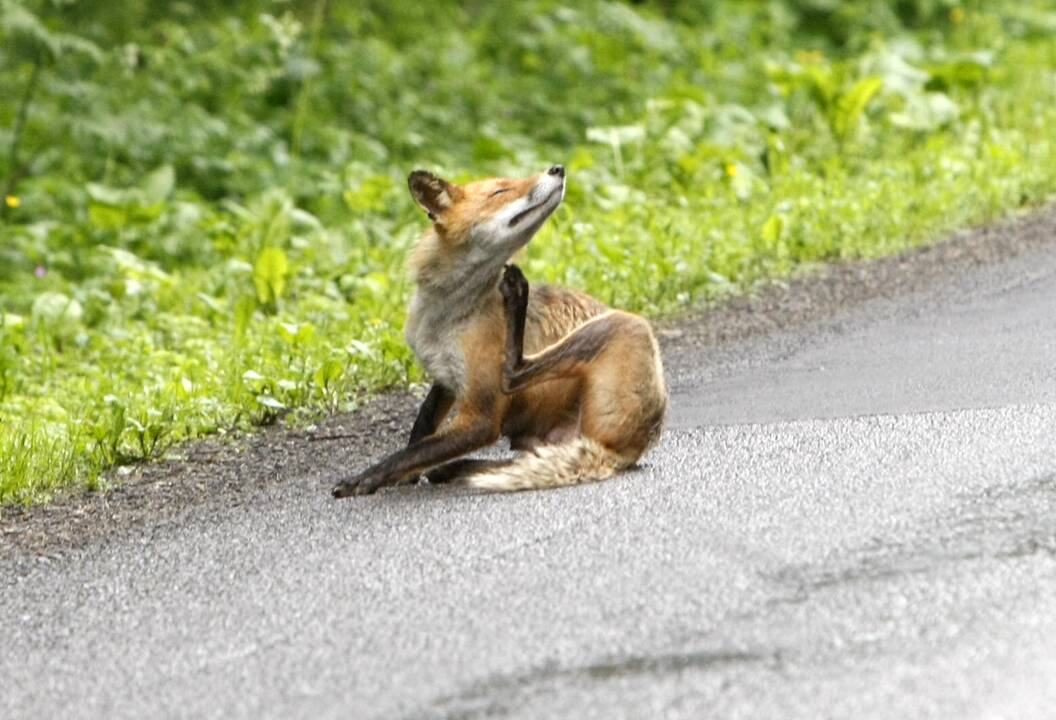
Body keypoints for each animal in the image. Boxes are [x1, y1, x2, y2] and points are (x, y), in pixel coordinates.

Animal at [329, 165, 667, 496]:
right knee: (498, 463)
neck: (443, 320)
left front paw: (366, 479)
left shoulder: (482, 416)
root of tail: (620, 452)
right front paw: (405, 476)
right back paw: (454, 469)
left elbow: (411, 452)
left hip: (625, 325)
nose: (557, 168)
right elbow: (421, 428)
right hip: (535, 445)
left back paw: (517, 294)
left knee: (513, 373)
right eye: (500, 191)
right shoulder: (447, 378)